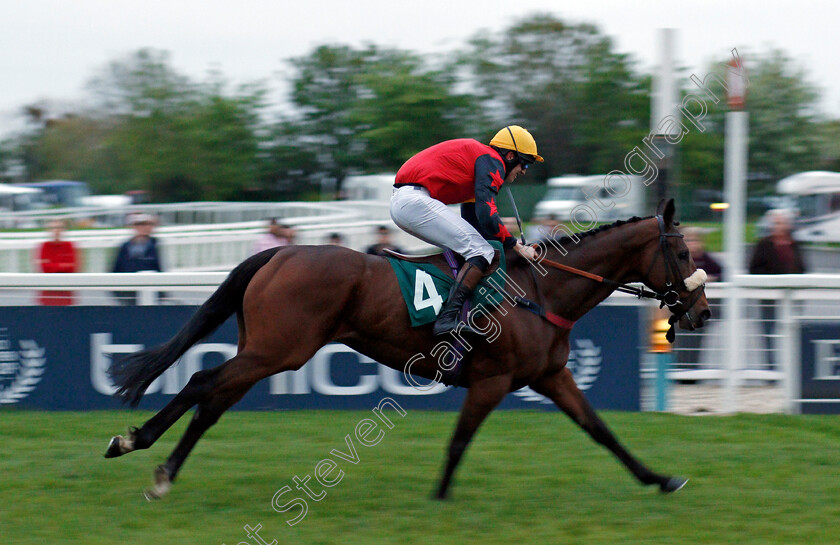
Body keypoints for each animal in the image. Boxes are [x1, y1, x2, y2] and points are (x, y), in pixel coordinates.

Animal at [103, 198, 708, 500]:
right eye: (680, 251)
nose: (702, 312)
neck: (540, 293)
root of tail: (279, 253)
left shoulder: (551, 376)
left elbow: (602, 430)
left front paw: (660, 478)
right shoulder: (491, 380)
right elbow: (460, 440)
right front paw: (439, 497)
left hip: (266, 349)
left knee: (212, 402)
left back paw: (163, 470)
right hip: (280, 350)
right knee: (201, 383)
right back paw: (134, 443)